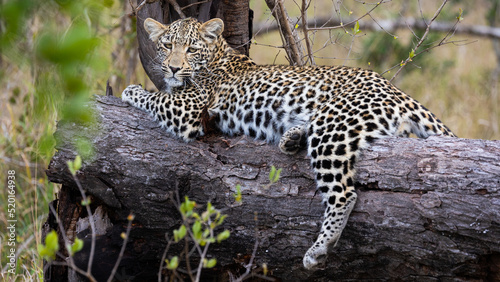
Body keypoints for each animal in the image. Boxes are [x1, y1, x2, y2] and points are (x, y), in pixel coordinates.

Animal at [121, 17, 458, 268]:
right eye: (167, 45)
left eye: (191, 49)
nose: (174, 67)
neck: (217, 55)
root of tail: (394, 89)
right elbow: (161, 92)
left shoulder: (187, 110)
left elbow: (154, 96)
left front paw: (130, 90)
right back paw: (292, 137)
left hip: (332, 128)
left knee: (344, 194)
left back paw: (318, 249)